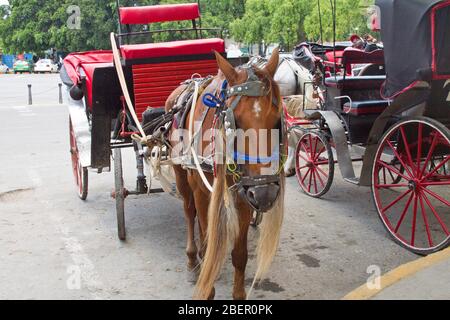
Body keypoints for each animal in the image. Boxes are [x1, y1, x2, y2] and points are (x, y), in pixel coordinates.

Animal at [165, 48, 284, 300]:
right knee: (189, 213)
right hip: (182, 175)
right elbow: (207, 237)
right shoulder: (202, 192)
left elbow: (240, 254)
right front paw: (206, 284)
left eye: (277, 119)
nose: (265, 194)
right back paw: (193, 260)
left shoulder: (244, 194)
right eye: (234, 121)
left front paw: (238, 293)